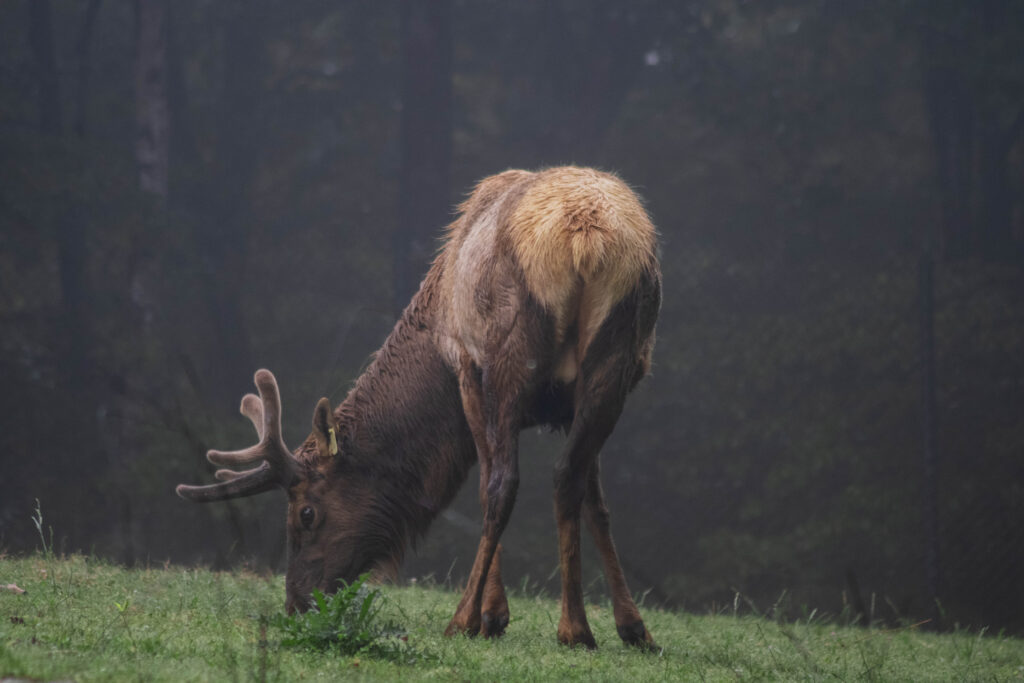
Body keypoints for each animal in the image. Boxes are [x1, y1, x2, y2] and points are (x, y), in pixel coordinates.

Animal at [176, 166, 659, 651]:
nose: (297, 602)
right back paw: (579, 628)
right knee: (566, 476)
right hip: (616, 362)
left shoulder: (466, 368)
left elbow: (486, 484)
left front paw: (492, 614)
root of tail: (585, 240)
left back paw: (467, 619)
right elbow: (596, 504)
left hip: (510, 355)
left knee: (506, 482)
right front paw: (632, 625)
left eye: (306, 513)